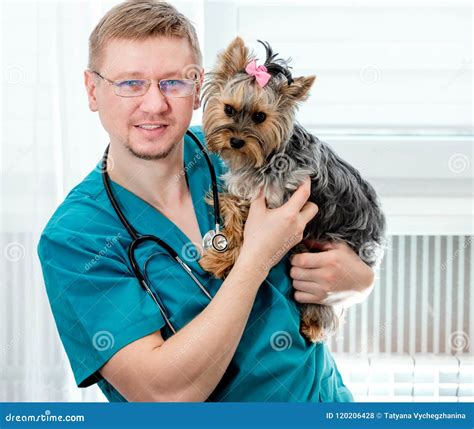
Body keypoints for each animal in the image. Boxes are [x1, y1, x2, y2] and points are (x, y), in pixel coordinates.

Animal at [198, 37, 386, 342]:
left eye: (260, 116)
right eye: (228, 109)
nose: (236, 141)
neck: (266, 157)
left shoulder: (280, 200)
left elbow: (247, 235)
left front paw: (222, 259)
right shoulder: (249, 193)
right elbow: (233, 208)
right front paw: (222, 250)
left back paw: (314, 325)